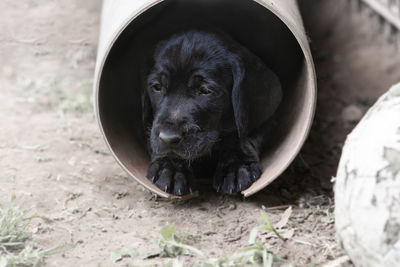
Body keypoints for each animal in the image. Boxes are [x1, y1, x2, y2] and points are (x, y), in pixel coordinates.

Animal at [142, 30, 282, 197]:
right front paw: (170, 167)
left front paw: (236, 165)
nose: (168, 137)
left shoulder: (267, 118)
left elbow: (241, 135)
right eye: (157, 87)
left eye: (205, 91)